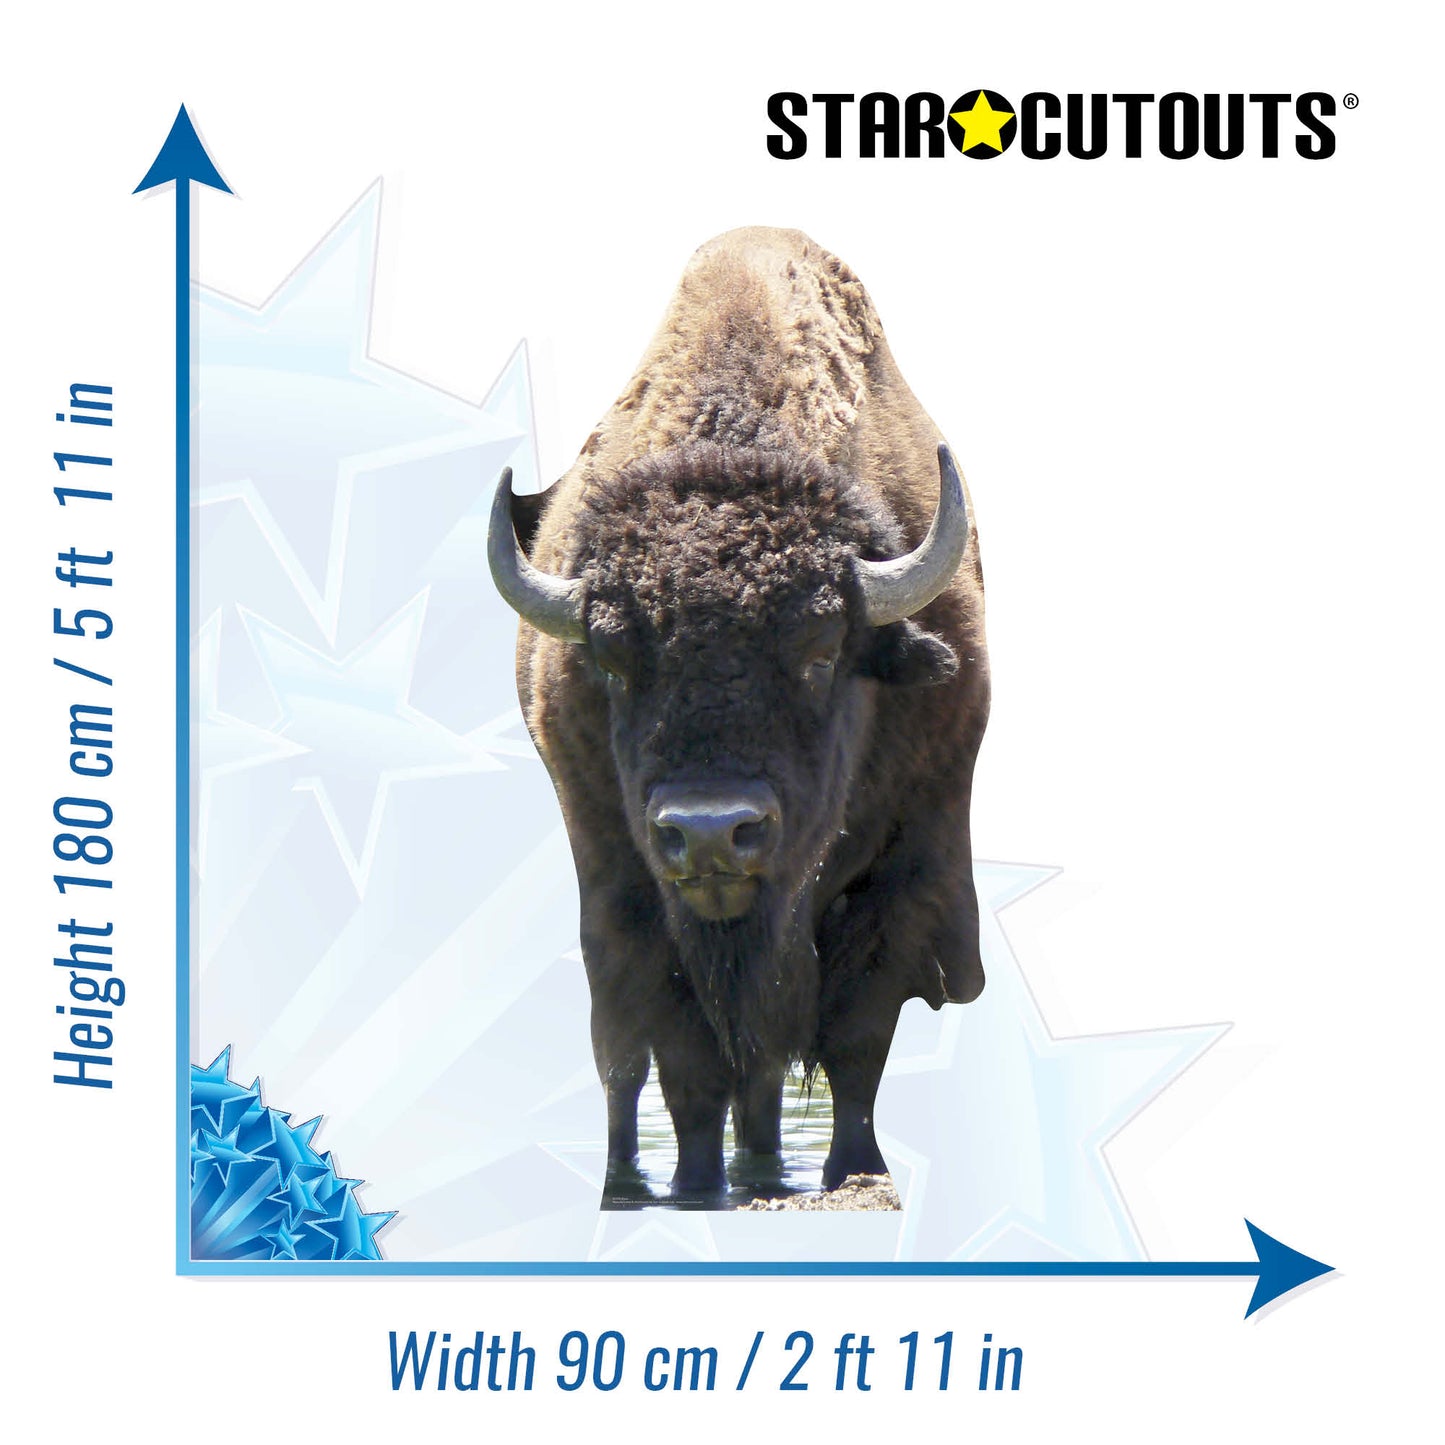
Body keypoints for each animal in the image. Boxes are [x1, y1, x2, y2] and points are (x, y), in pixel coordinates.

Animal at [489, 227, 989, 1199]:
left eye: (823, 650)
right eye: (613, 659)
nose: (711, 832)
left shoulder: (911, 855)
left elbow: (855, 1033)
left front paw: (853, 1168)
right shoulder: (626, 879)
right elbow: (681, 1055)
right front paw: (692, 1185)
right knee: (622, 1058)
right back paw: (630, 1180)